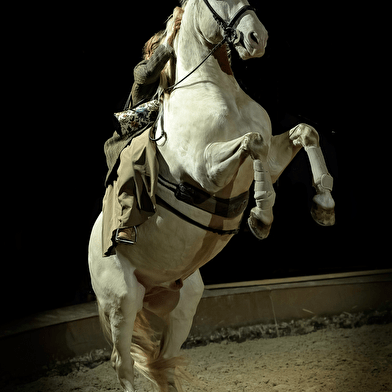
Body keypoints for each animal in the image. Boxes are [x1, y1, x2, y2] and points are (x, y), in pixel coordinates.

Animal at [88, 0, 334, 392]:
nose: (257, 38)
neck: (217, 91)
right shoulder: (205, 170)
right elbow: (253, 142)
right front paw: (261, 215)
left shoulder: (273, 159)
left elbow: (303, 132)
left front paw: (324, 205)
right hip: (122, 300)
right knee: (122, 363)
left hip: (184, 301)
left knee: (163, 362)